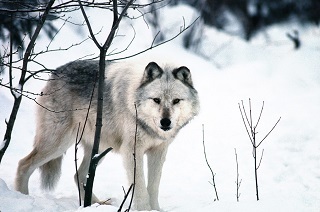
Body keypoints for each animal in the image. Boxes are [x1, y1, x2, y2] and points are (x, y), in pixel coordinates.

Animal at [15, 58, 200, 210]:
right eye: (156, 100)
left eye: (176, 101)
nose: (165, 122)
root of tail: (55, 72)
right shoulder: (131, 151)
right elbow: (140, 187)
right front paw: (145, 210)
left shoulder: (159, 151)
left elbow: (153, 187)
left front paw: (155, 209)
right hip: (58, 144)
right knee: (23, 164)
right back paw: (22, 198)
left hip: (98, 149)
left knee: (79, 175)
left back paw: (96, 204)